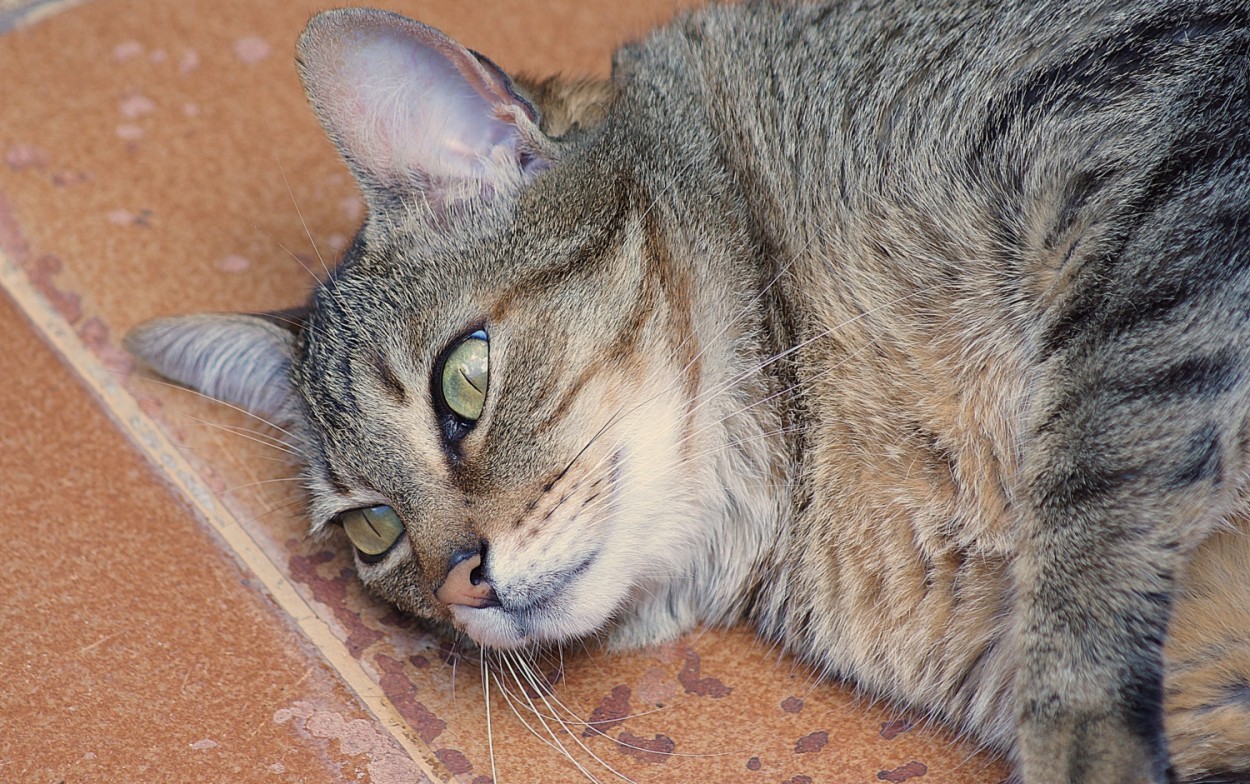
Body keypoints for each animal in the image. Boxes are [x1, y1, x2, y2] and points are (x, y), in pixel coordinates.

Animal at [124, 3, 1250, 780]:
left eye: (464, 380)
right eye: (371, 532)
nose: (460, 584)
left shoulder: (1151, 141)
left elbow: (1092, 530)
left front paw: (1083, 743)